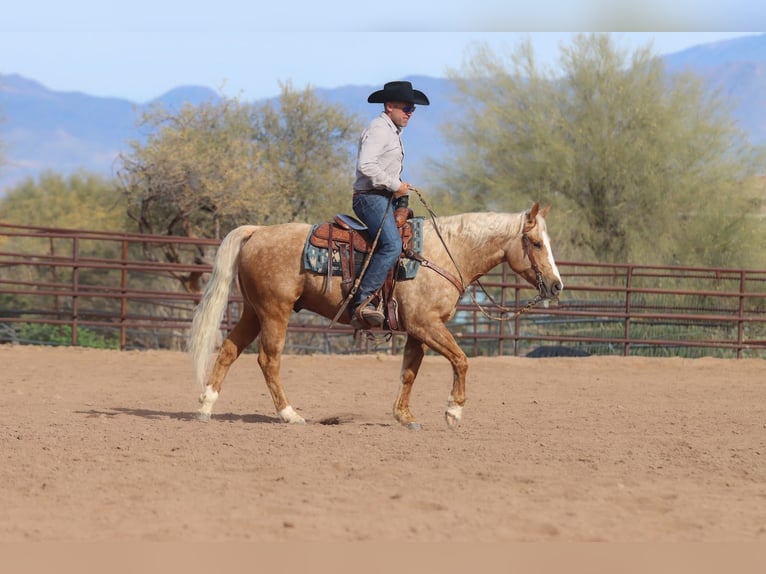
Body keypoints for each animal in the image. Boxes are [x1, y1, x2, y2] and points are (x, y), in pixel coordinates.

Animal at [189, 202, 563, 429]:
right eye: (537, 243)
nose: (557, 285)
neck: (446, 253)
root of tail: (258, 231)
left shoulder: (418, 330)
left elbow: (409, 371)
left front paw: (405, 416)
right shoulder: (427, 324)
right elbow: (461, 359)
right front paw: (453, 411)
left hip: (253, 311)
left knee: (228, 351)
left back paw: (205, 407)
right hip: (274, 311)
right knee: (268, 360)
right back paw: (290, 414)